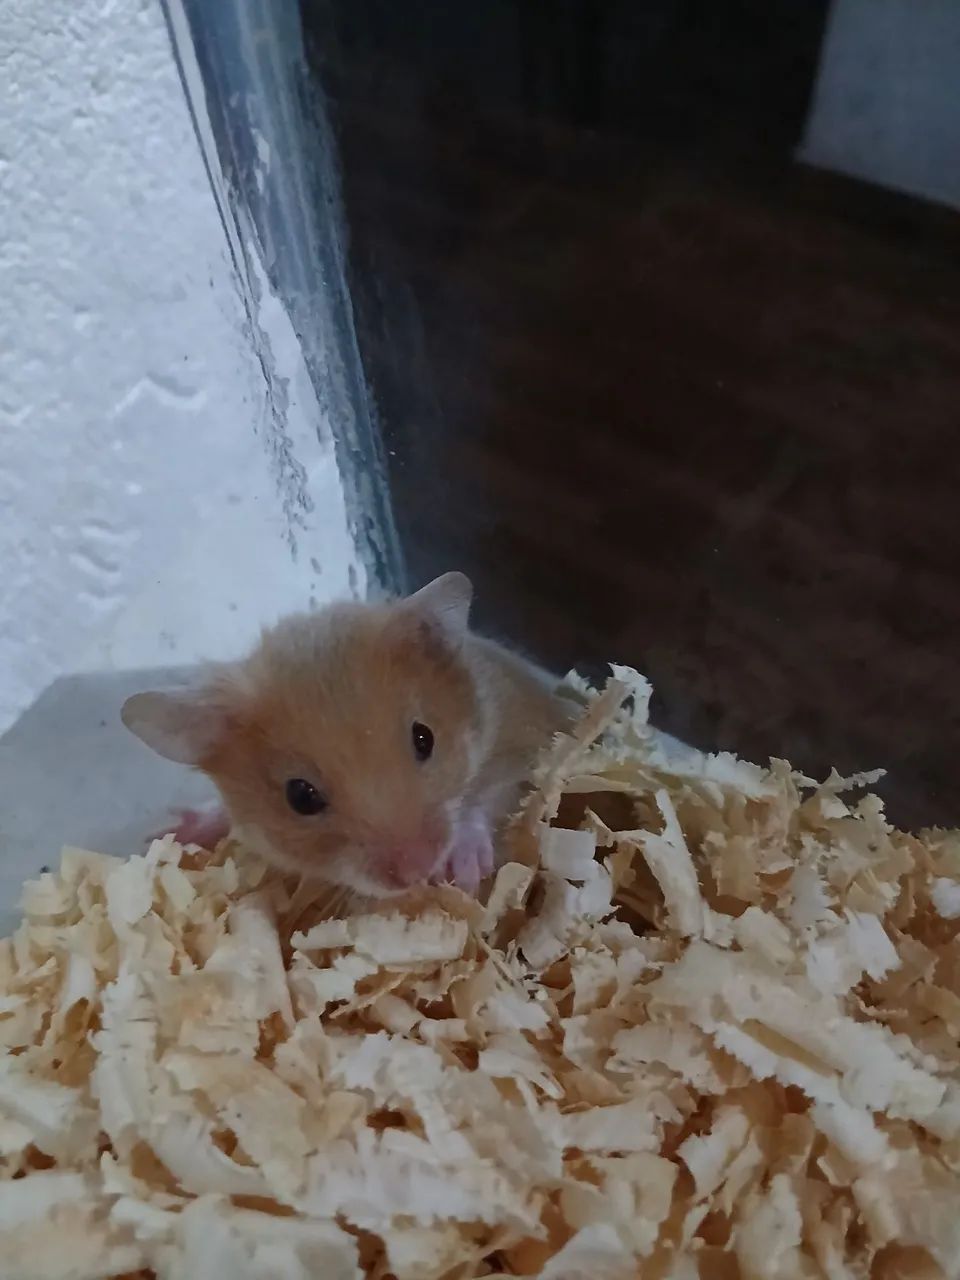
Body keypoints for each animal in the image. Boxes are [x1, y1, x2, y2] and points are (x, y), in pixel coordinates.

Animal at [122, 572, 575, 900]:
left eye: (425, 738)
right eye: (300, 796)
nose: (418, 872)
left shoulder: (520, 748)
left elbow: (489, 797)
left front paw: (465, 873)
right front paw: (168, 833)